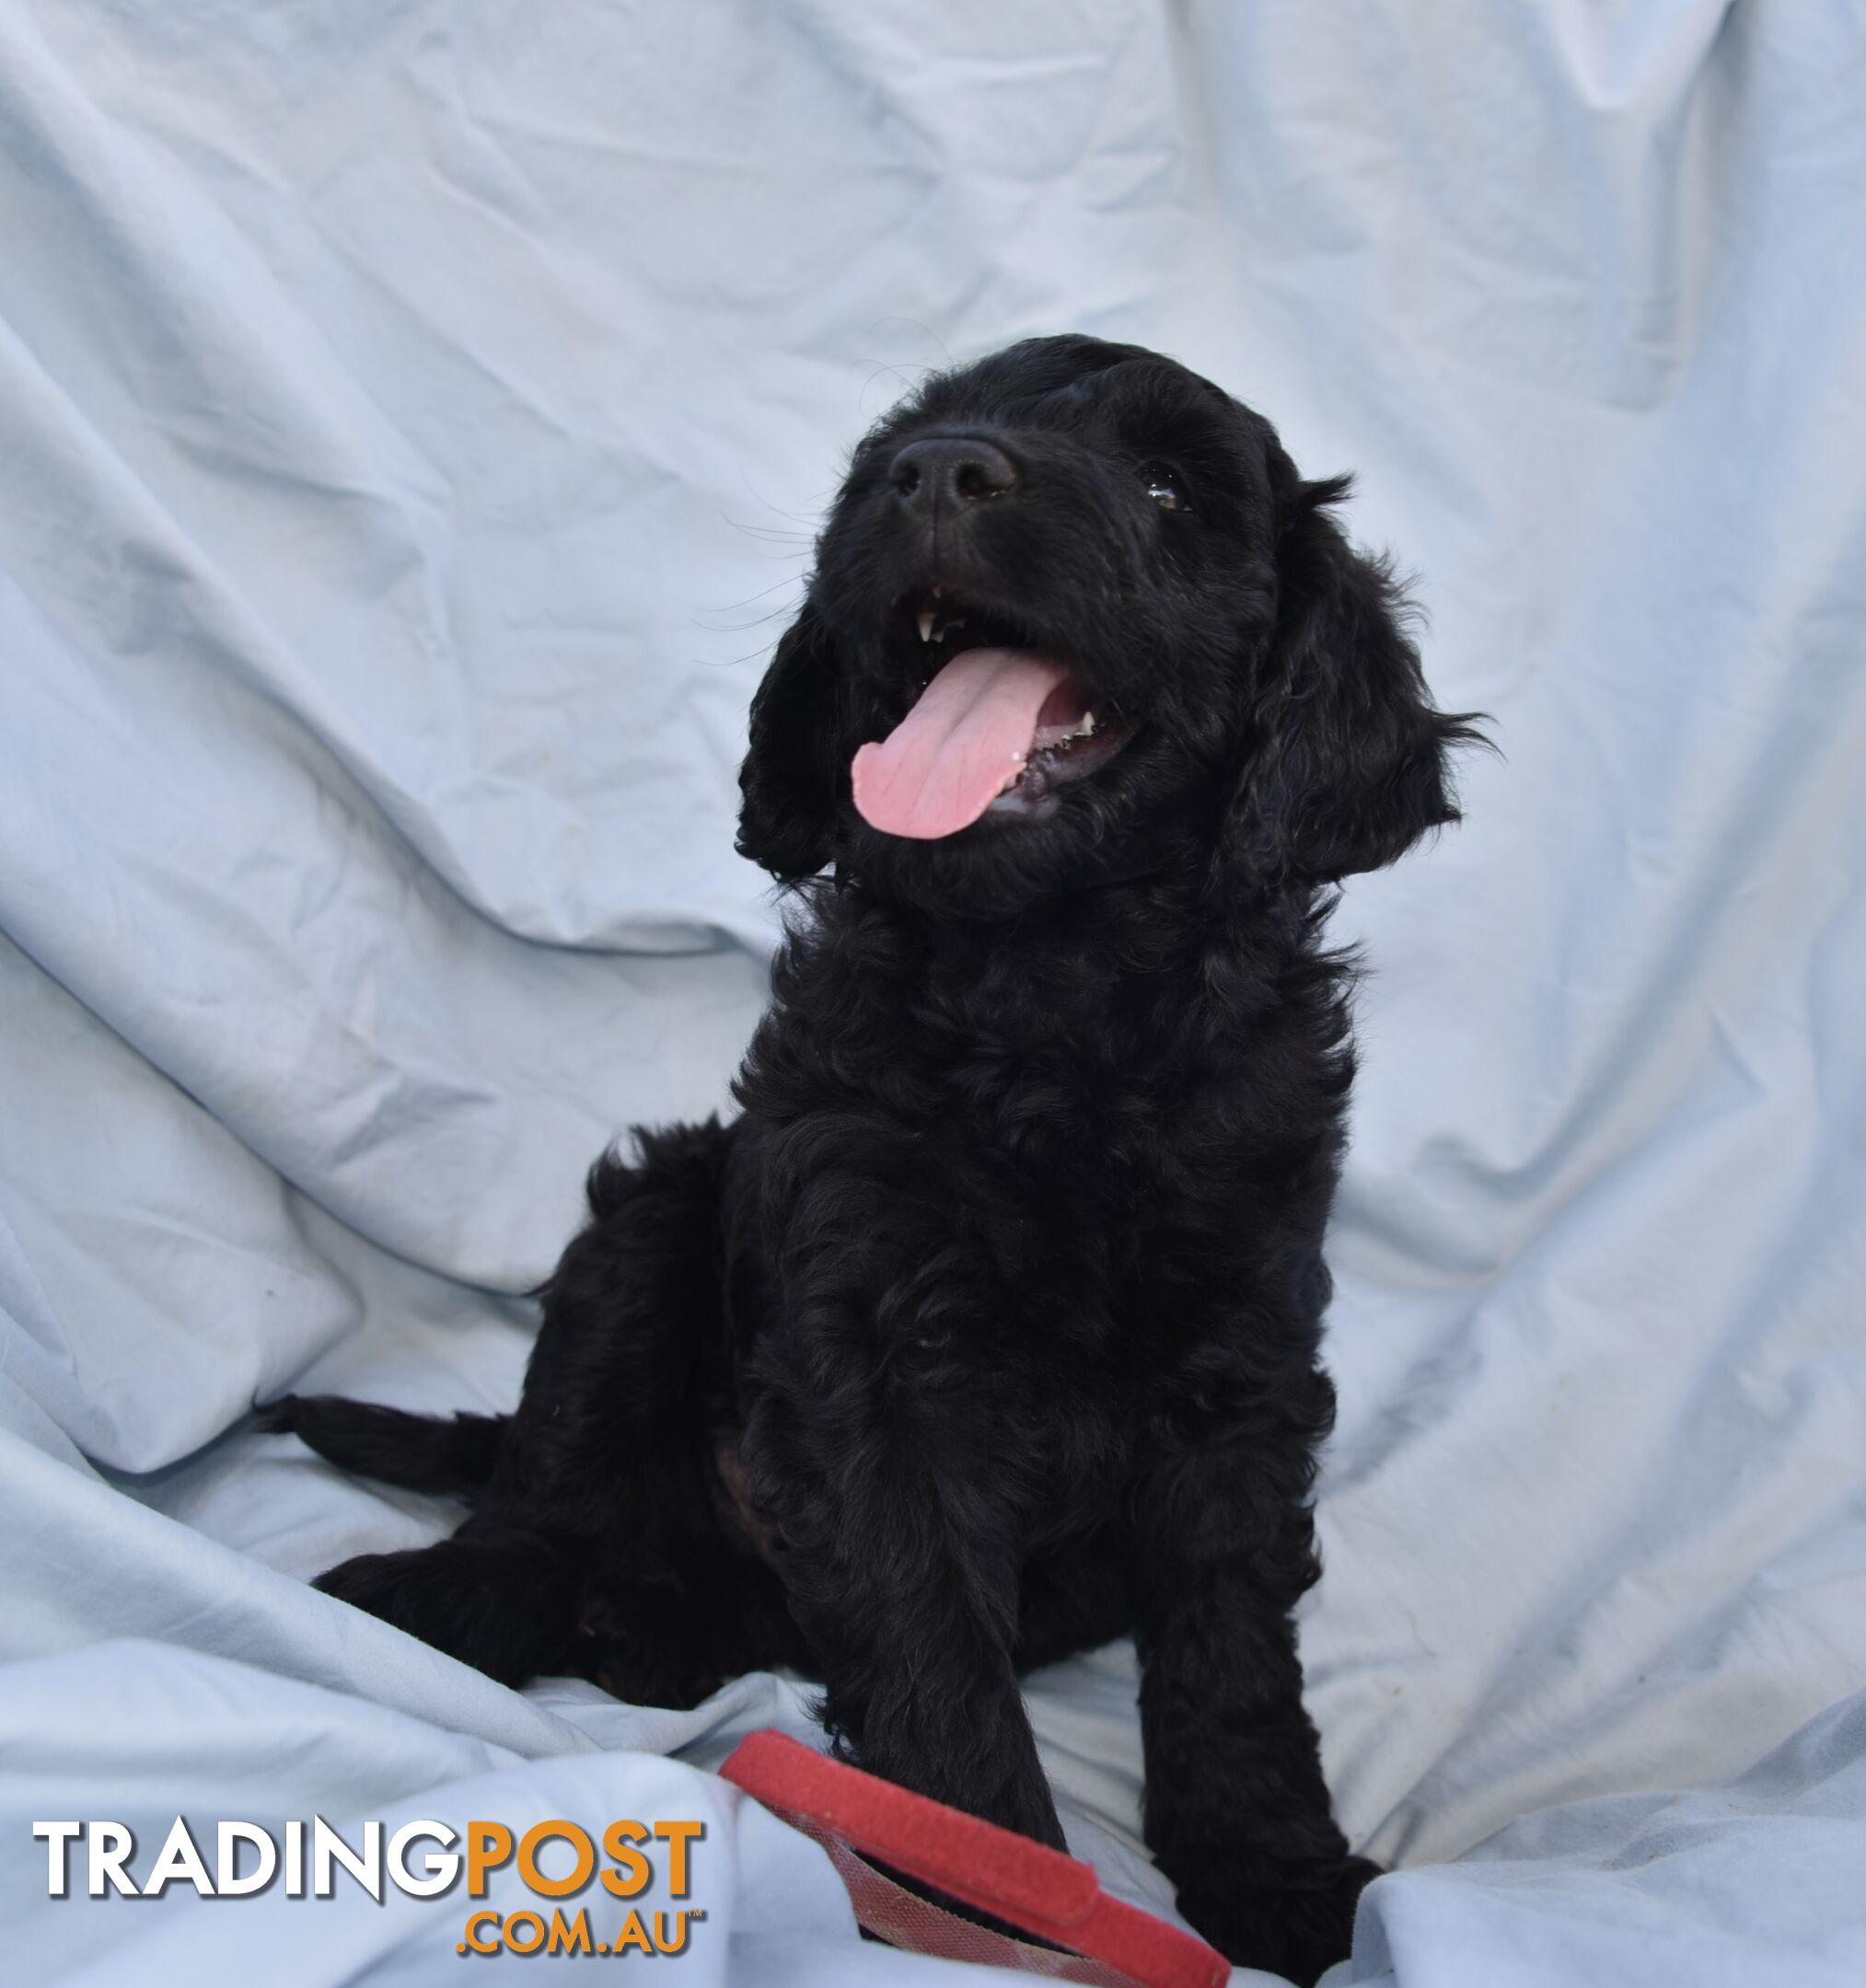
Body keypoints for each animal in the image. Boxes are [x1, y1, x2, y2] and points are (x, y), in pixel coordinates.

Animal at [272, 333, 1472, 1980]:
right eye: (898, 442)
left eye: (1170, 488)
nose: (938, 472)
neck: (1053, 1004)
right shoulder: (871, 1337)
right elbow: (929, 1648)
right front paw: (991, 1899)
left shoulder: (1238, 1356)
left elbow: (1229, 1648)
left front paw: (1272, 1872)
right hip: (654, 1222)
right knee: (544, 1487)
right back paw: (457, 1596)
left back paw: (652, 1637)